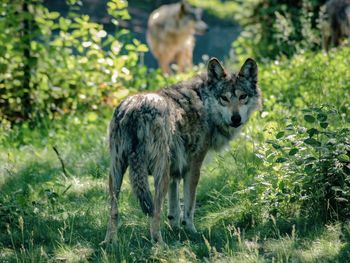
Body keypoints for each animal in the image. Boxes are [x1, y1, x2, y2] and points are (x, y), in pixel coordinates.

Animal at [100, 57, 262, 245]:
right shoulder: (193, 167)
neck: (204, 101)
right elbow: (189, 207)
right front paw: (191, 231)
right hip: (159, 175)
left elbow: (174, 208)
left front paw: (175, 228)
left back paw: (109, 242)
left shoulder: (175, 170)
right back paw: (159, 244)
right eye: (224, 98)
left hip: (116, 174)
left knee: (114, 212)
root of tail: (134, 110)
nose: (236, 118)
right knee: (154, 213)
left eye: (243, 96)